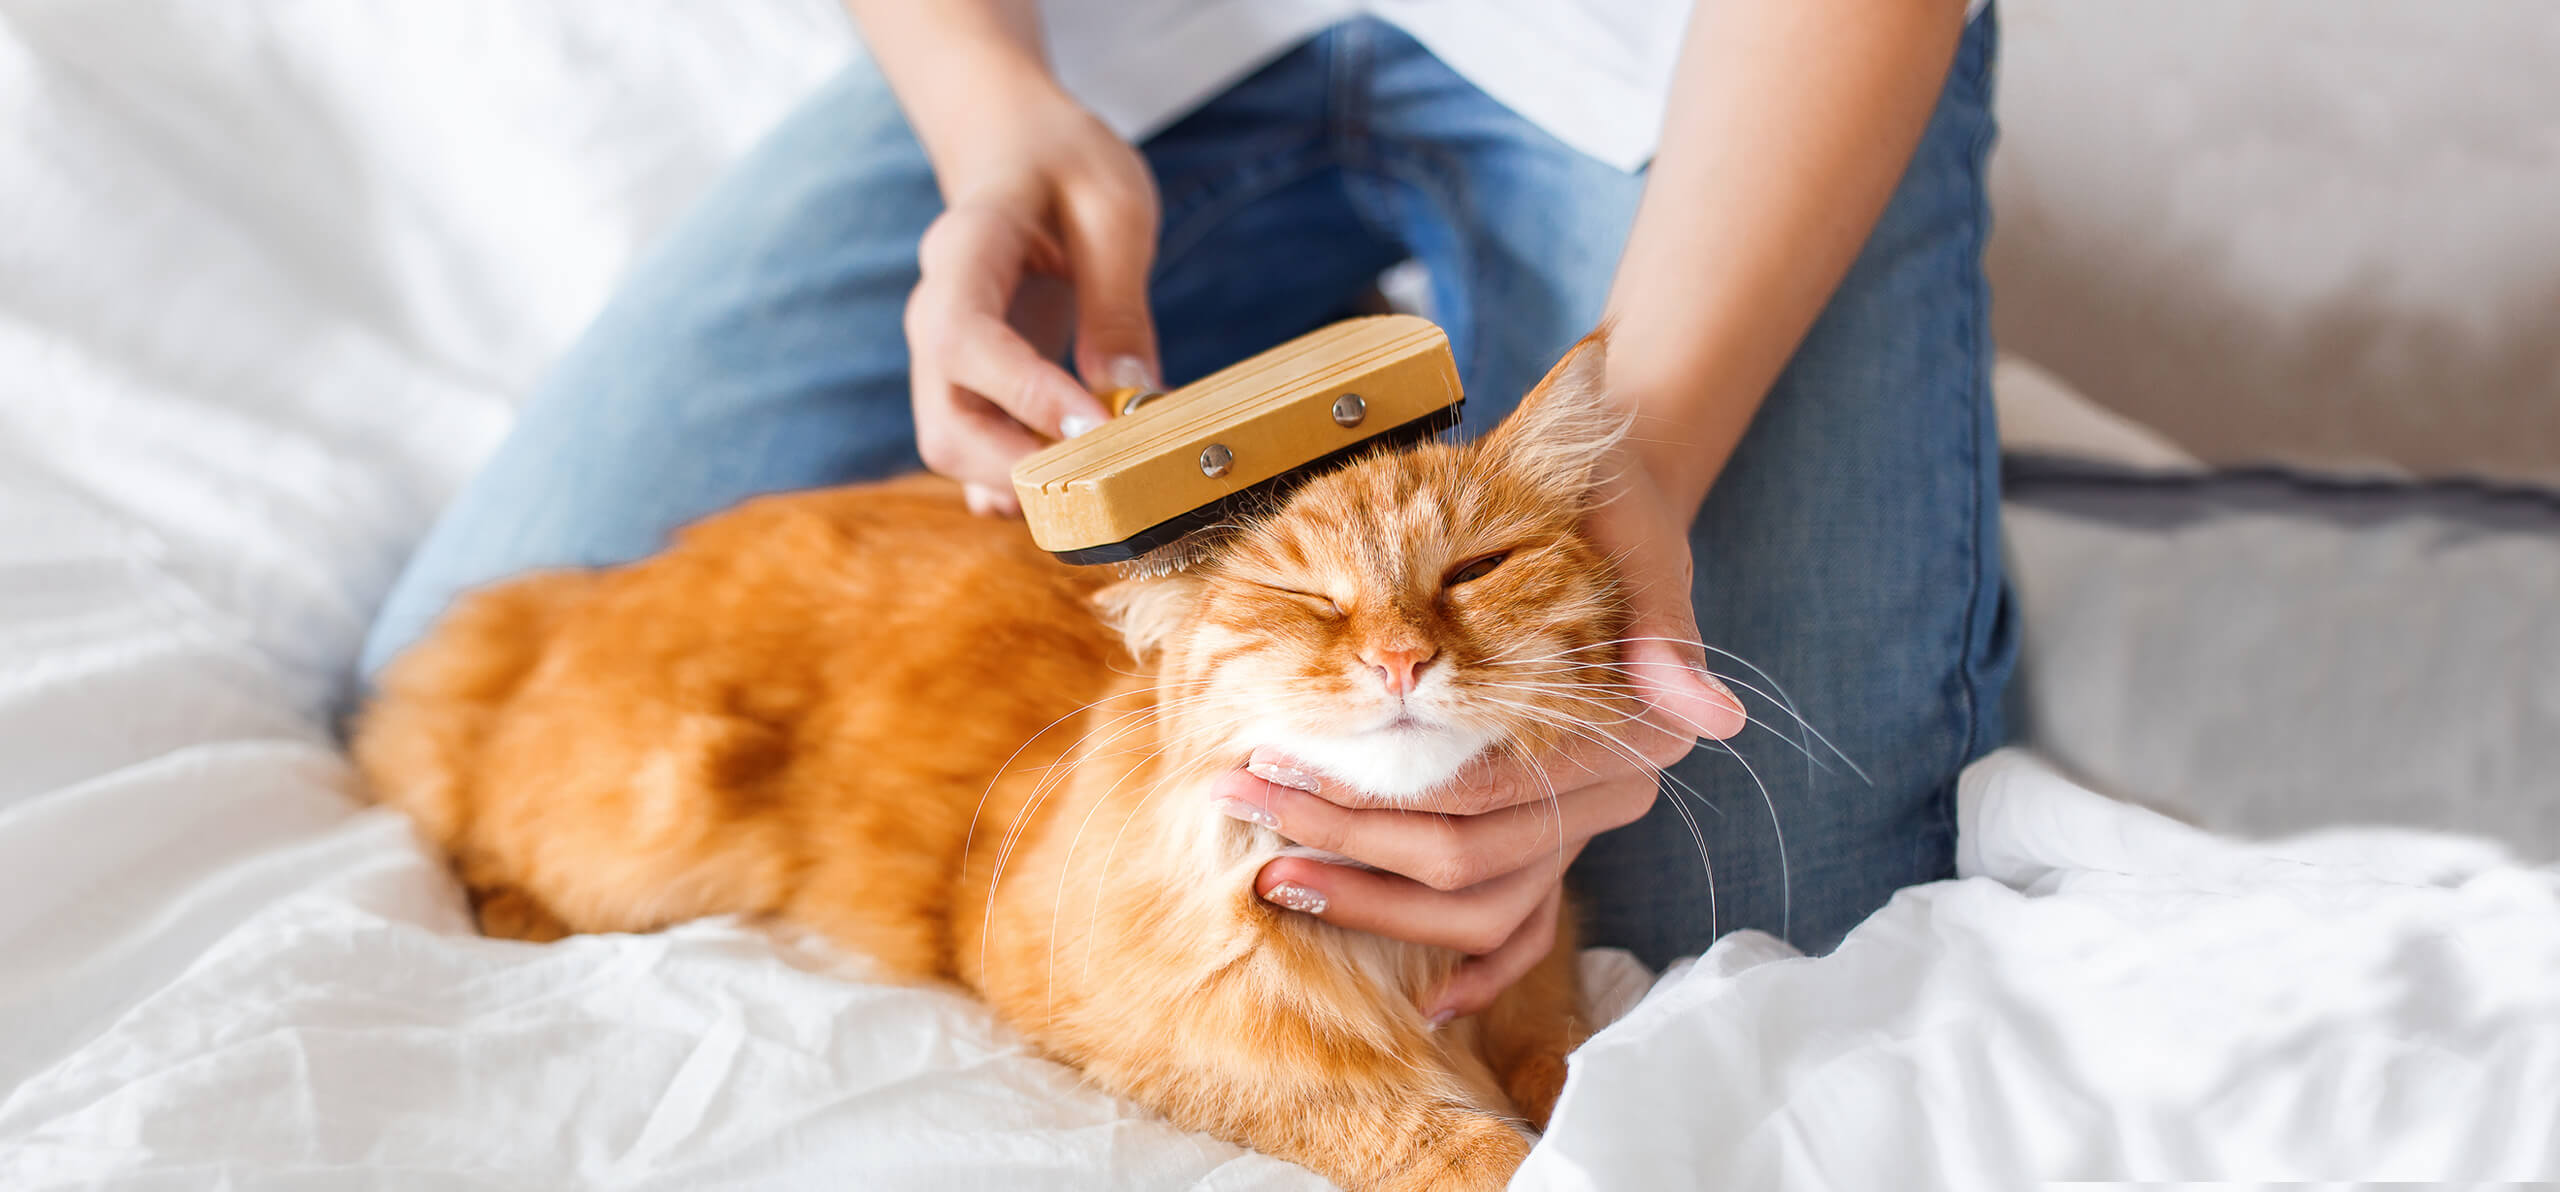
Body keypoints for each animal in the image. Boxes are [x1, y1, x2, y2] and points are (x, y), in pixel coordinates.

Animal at [350, 329, 1638, 1186]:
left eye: (1473, 570)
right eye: (1305, 601)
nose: (1400, 660)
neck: (1400, 955)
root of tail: (580, 594)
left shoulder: (1539, 972)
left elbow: (1573, 1058)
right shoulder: (1126, 1026)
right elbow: (1418, 1129)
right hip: (650, 828)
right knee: (465, 811)